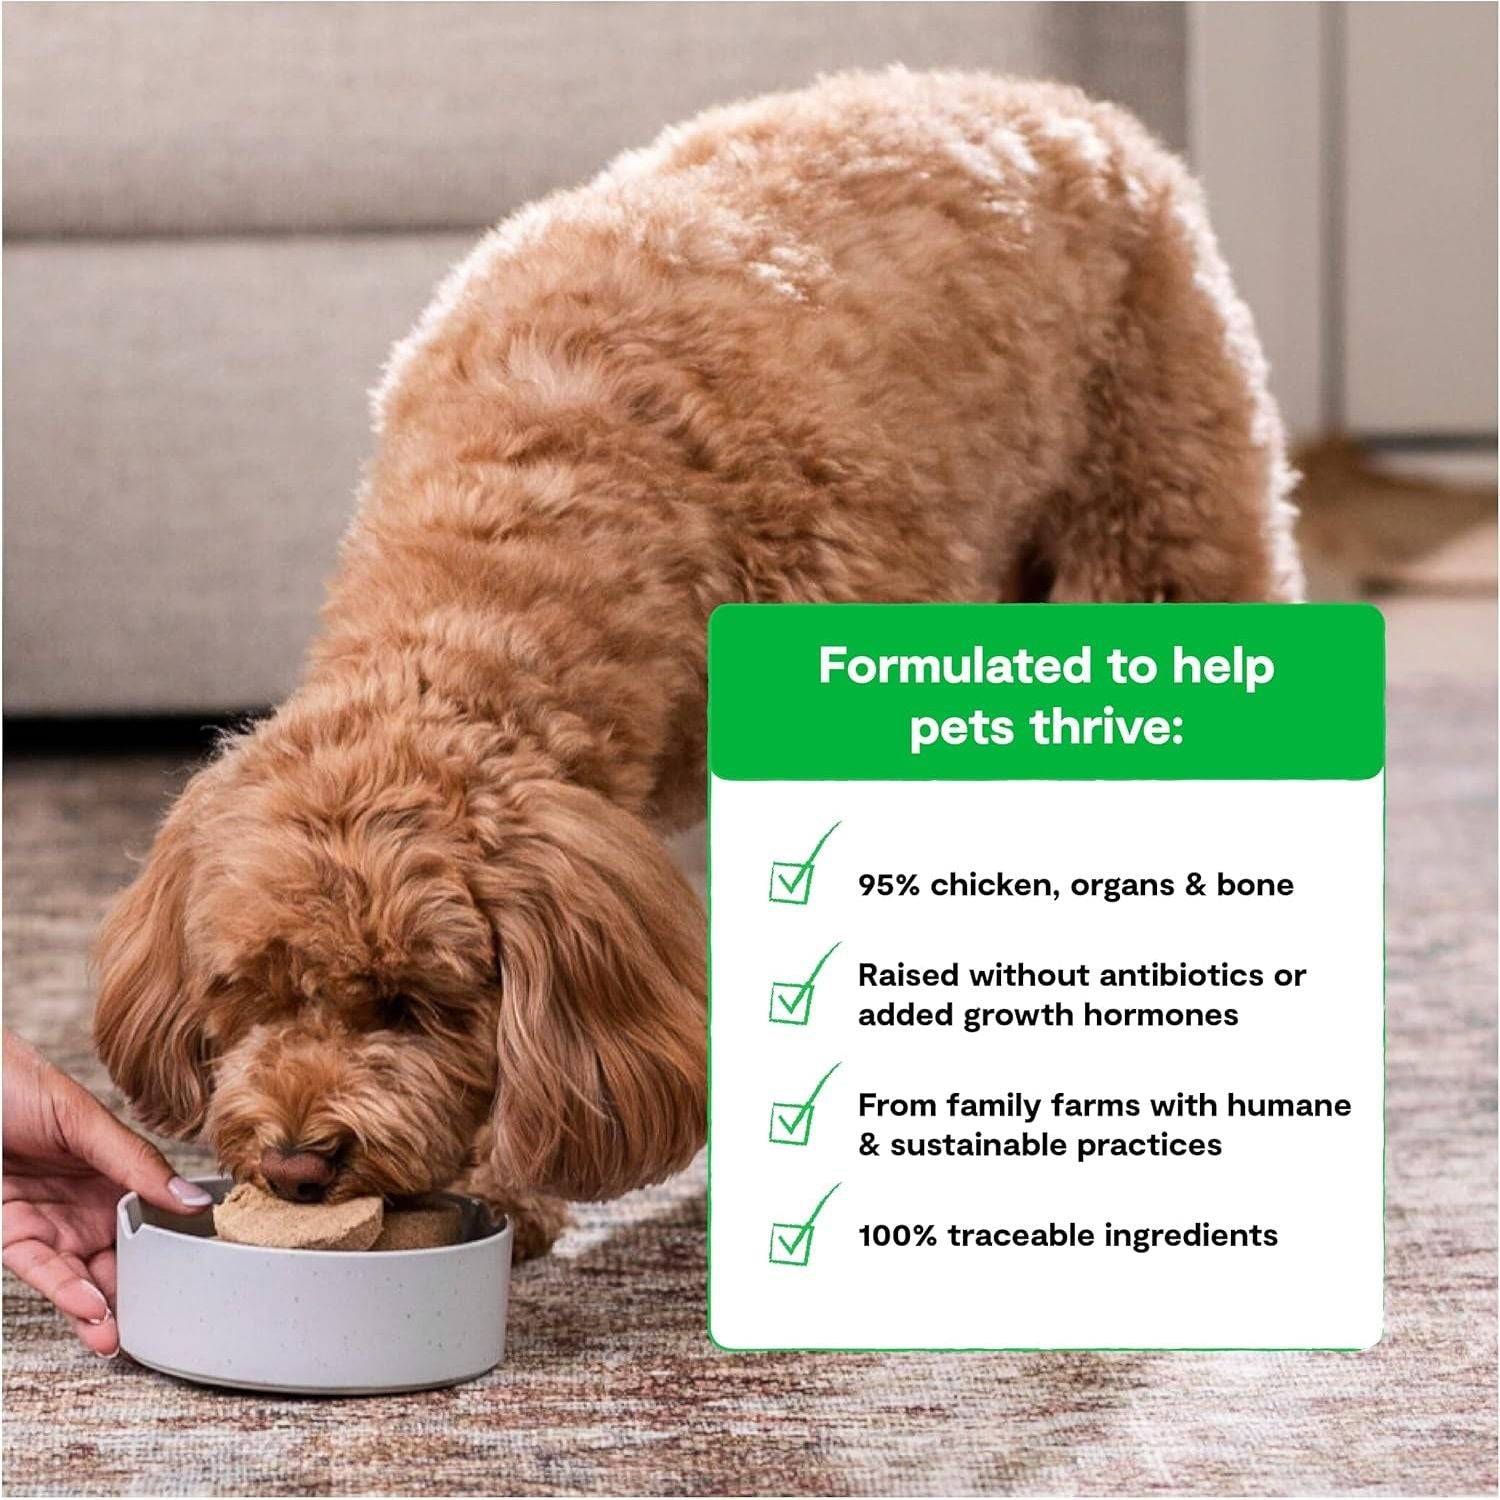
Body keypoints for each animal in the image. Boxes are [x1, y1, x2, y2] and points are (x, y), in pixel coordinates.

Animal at [93, 70, 1302, 1254]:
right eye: (248, 991)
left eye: (409, 1003)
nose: (300, 1163)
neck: (534, 505)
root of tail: (1090, 114)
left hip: (1162, 532)